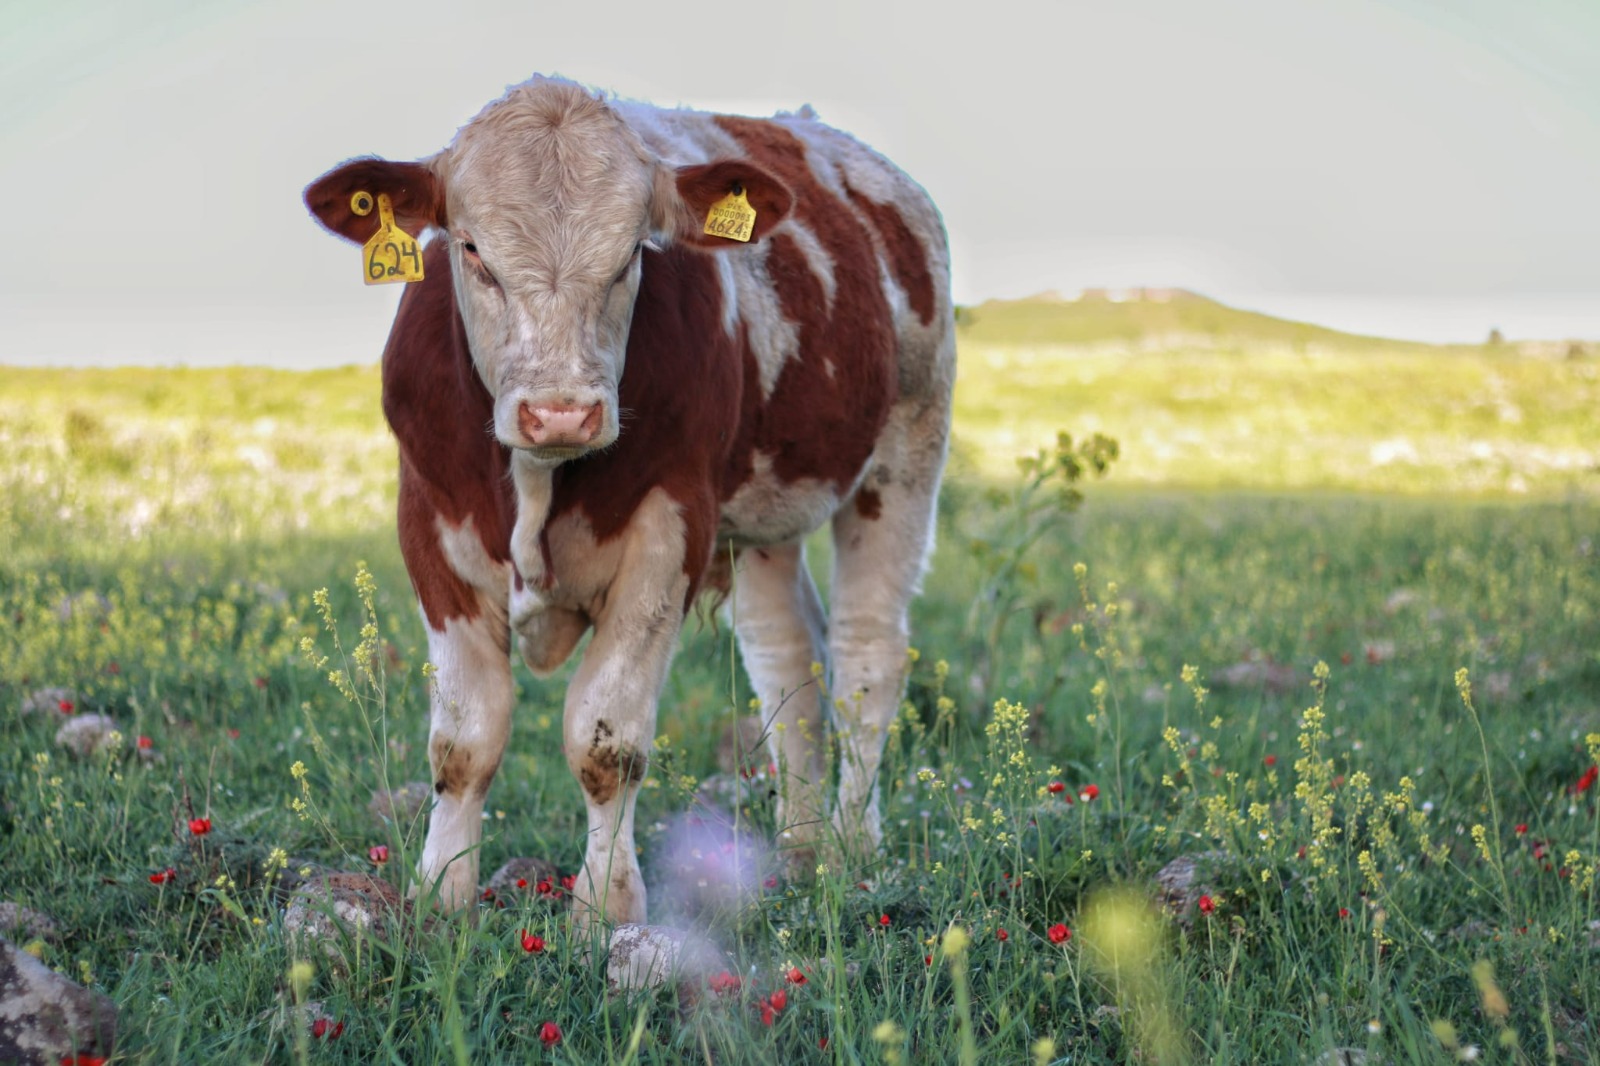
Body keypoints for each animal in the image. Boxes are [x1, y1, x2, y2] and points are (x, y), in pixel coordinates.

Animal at [302, 76, 947, 921]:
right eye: (471, 249)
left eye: (633, 253)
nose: (560, 412)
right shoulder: (428, 524)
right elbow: (463, 740)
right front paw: (442, 896)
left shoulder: (668, 535)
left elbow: (606, 739)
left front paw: (605, 906)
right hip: (763, 517)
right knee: (786, 660)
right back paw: (801, 849)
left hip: (904, 456)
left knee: (866, 657)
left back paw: (850, 848)